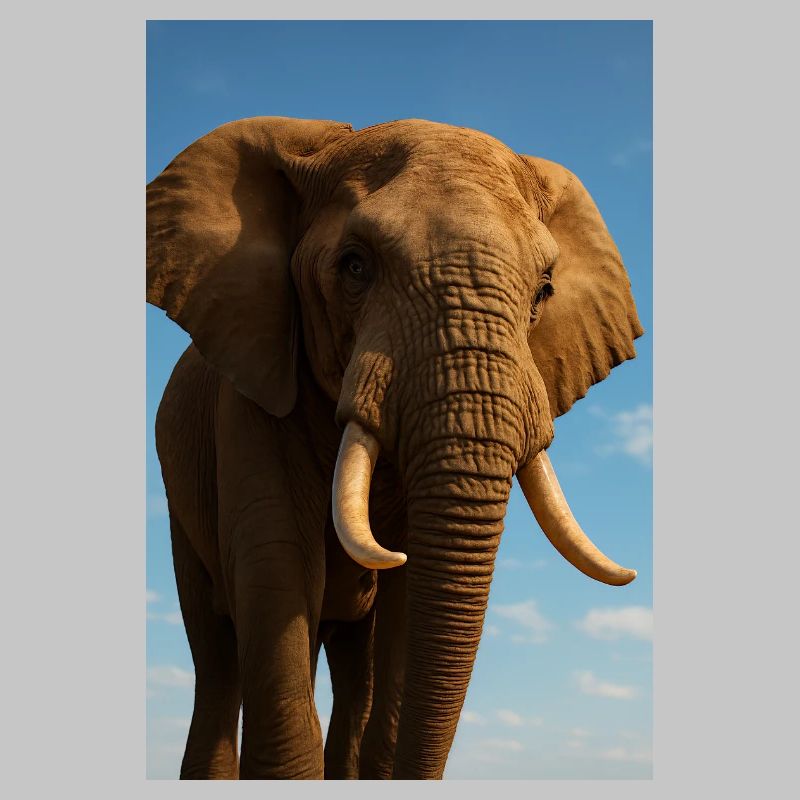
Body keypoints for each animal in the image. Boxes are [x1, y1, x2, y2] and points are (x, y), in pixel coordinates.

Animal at [147, 116, 643, 780]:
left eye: (544, 291)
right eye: (355, 267)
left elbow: (406, 608)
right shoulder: (250, 387)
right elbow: (276, 572)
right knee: (219, 663)